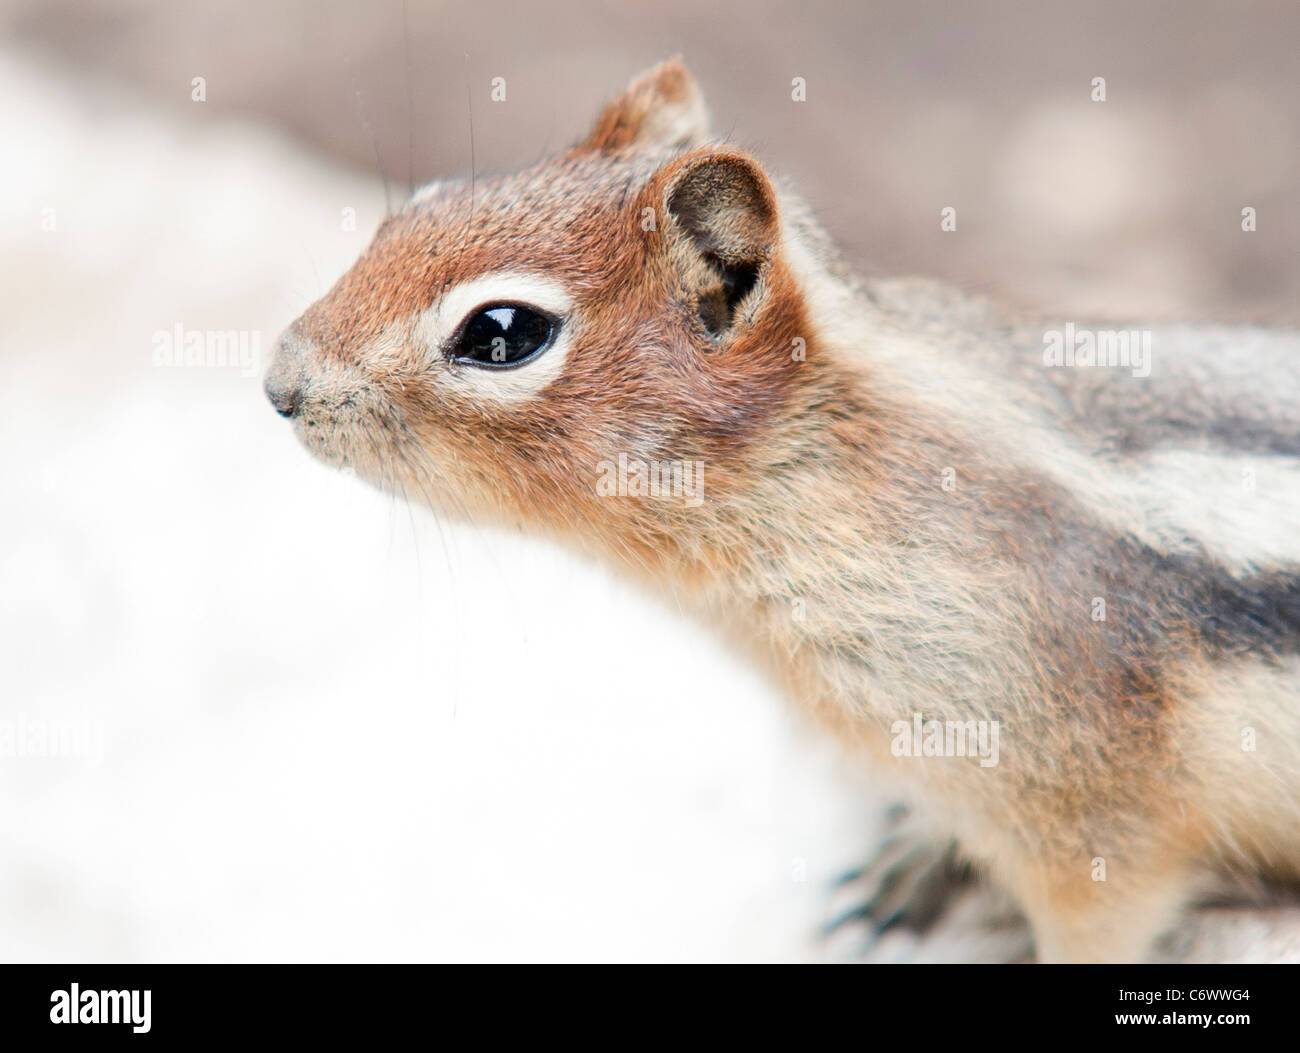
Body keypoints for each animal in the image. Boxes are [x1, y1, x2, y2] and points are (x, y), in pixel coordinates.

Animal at [266, 57, 1300, 961]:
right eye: (421, 199)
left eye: (503, 333)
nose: (278, 384)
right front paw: (909, 865)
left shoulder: (1089, 818)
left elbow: (1101, 915)